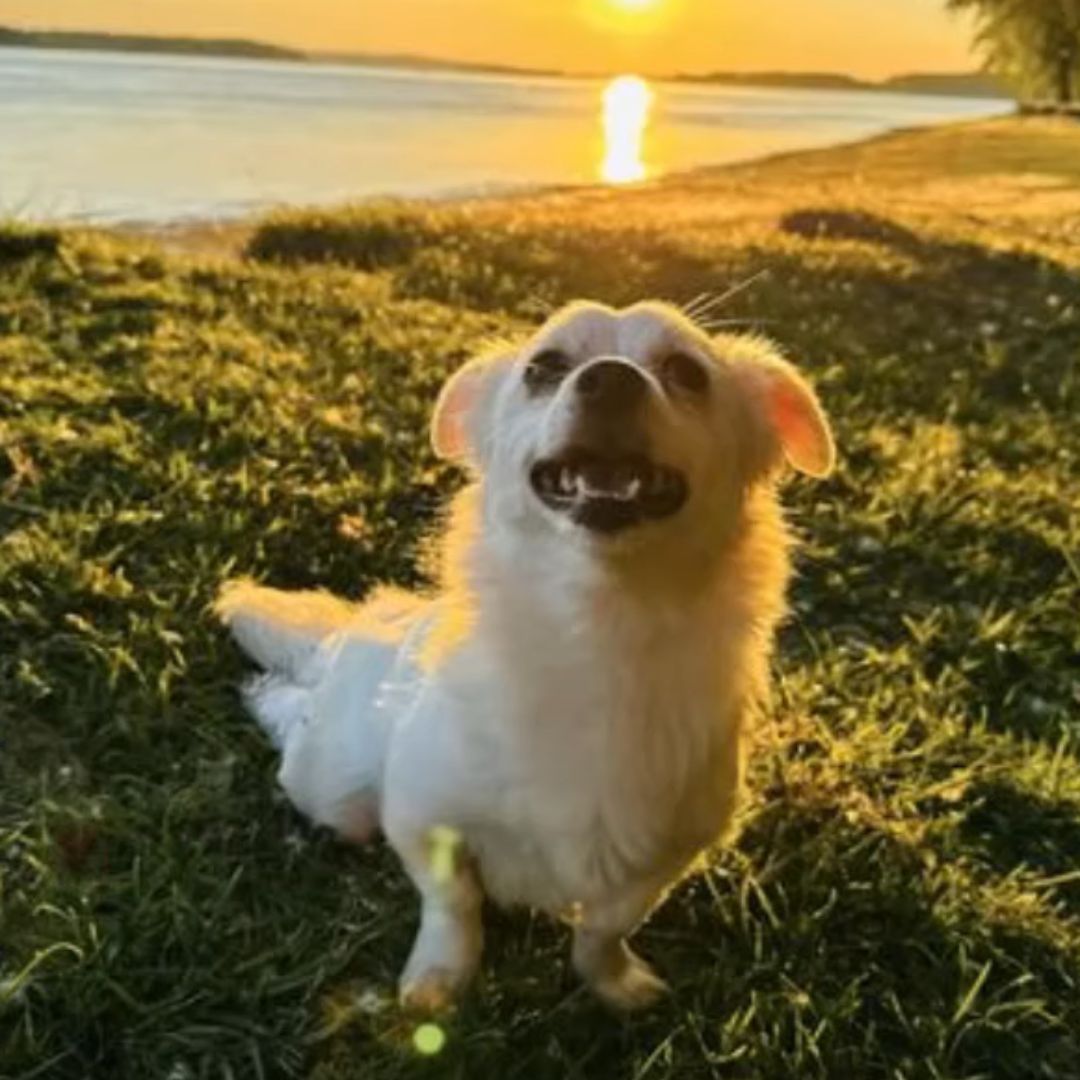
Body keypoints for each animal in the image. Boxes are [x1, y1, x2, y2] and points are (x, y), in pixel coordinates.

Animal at [214, 298, 829, 1010]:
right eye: (545, 367)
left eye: (686, 373)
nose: (610, 379)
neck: (597, 628)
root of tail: (377, 623)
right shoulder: (419, 816)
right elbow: (453, 905)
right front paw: (440, 978)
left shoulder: (663, 858)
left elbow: (607, 927)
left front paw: (612, 982)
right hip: (334, 791)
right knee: (300, 724)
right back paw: (266, 692)